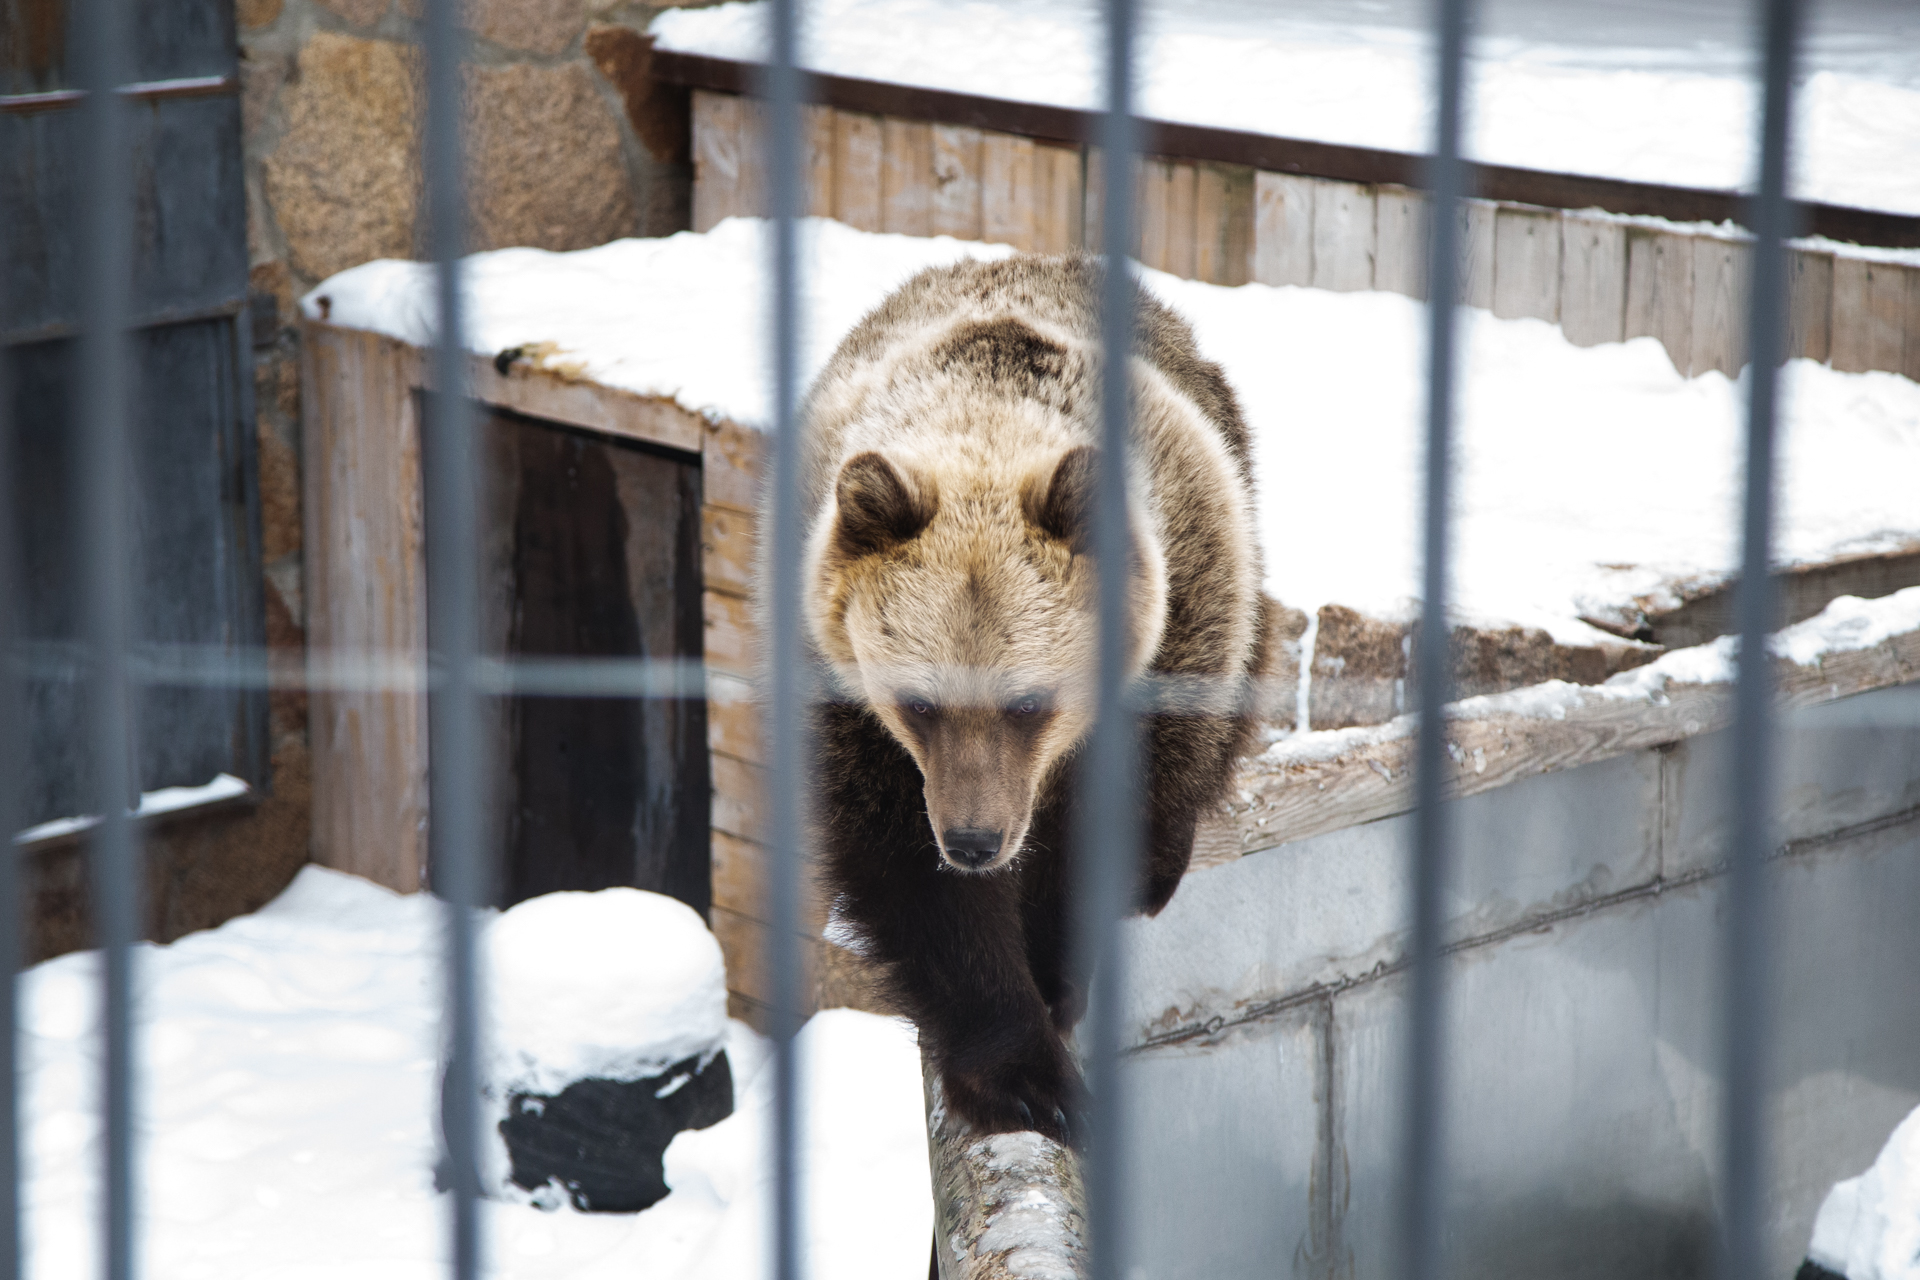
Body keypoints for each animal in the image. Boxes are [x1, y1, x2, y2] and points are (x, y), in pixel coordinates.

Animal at [764, 255, 1274, 1143]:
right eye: (918, 703)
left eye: (1029, 702)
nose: (975, 839)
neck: (988, 421)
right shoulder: (844, 699)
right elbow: (916, 882)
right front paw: (1025, 1073)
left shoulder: (1180, 605)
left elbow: (1104, 825)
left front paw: (1056, 971)